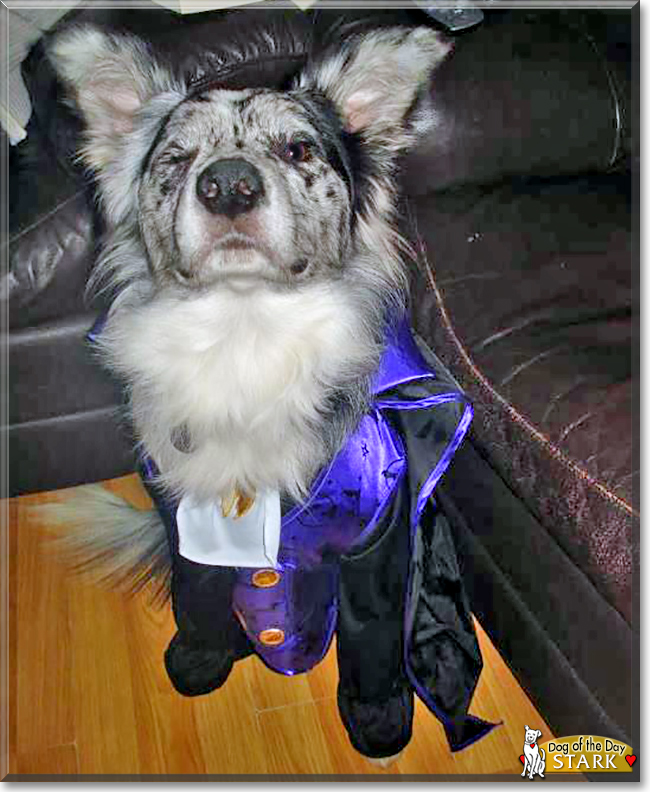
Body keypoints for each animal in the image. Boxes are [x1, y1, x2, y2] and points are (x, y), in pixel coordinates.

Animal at [44, 21, 470, 764]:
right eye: (177, 156)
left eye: (297, 149)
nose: (228, 187)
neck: (246, 333)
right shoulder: (184, 519)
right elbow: (199, 595)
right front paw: (201, 660)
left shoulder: (379, 539)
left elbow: (371, 631)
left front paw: (378, 717)